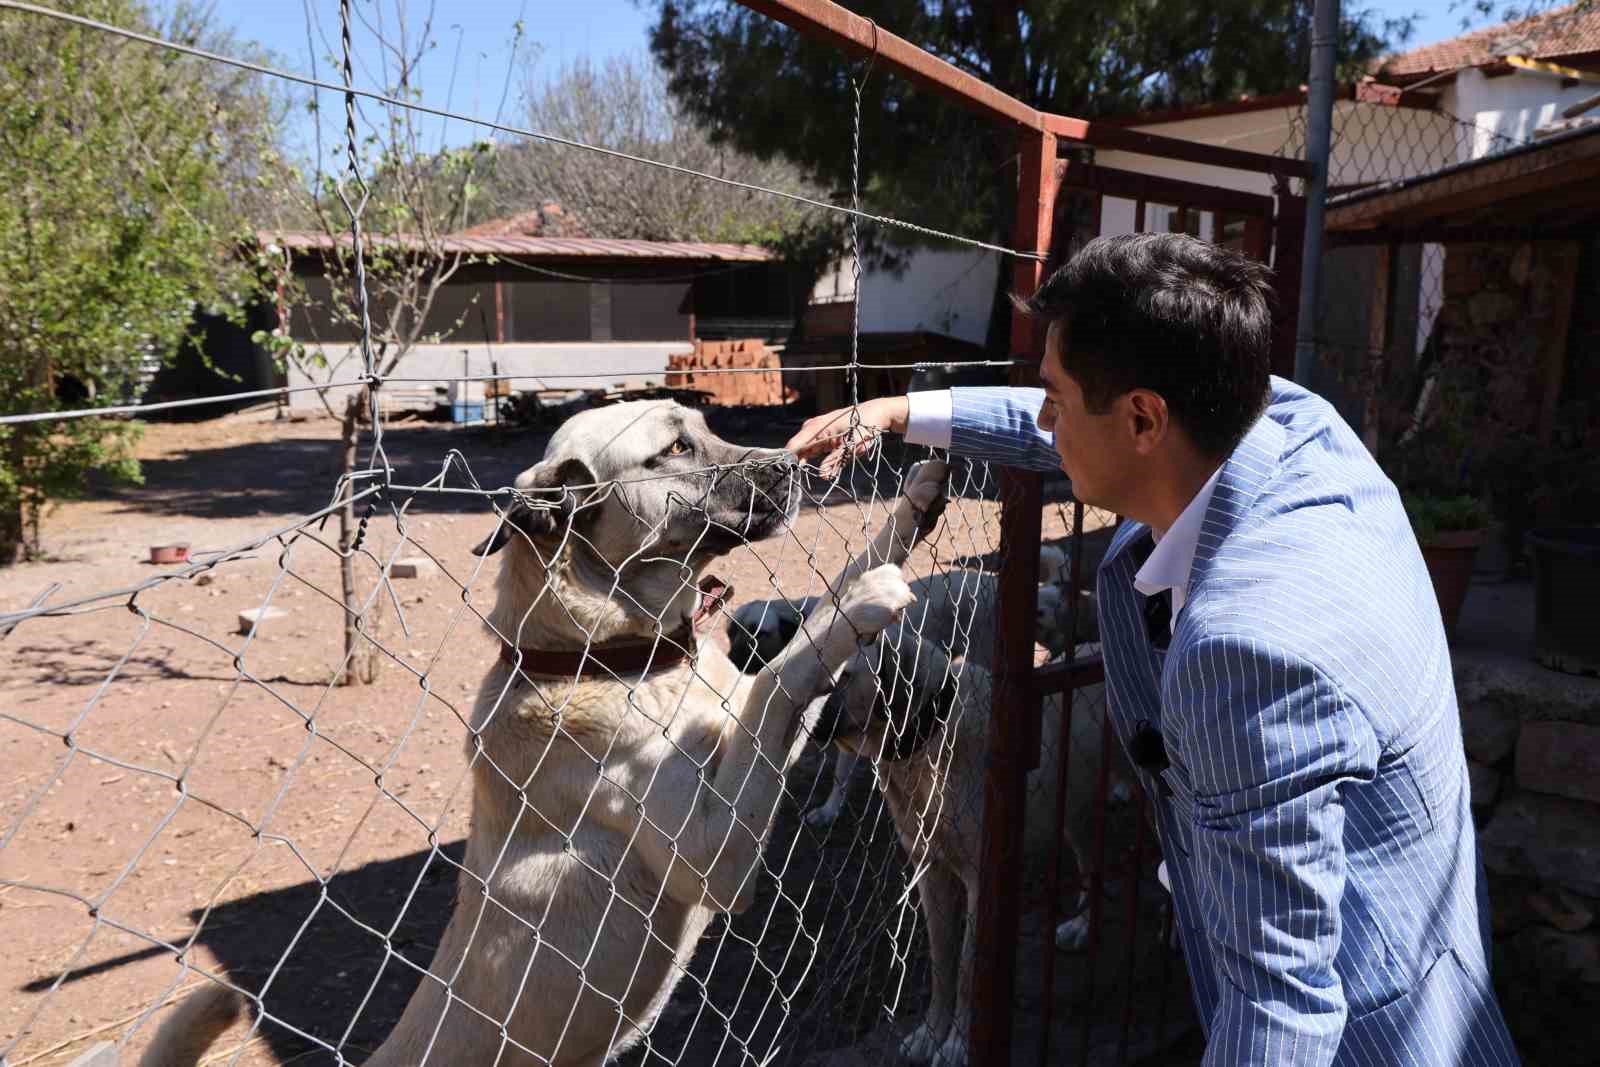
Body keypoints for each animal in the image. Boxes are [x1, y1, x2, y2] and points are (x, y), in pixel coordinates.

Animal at [140, 399, 947, 1067]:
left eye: (704, 427)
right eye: (675, 447)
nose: (797, 462)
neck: (606, 658)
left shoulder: (743, 716)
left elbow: (823, 611)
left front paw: (915, 501)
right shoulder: (713, 856)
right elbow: (789, 666)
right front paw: (859, 604)